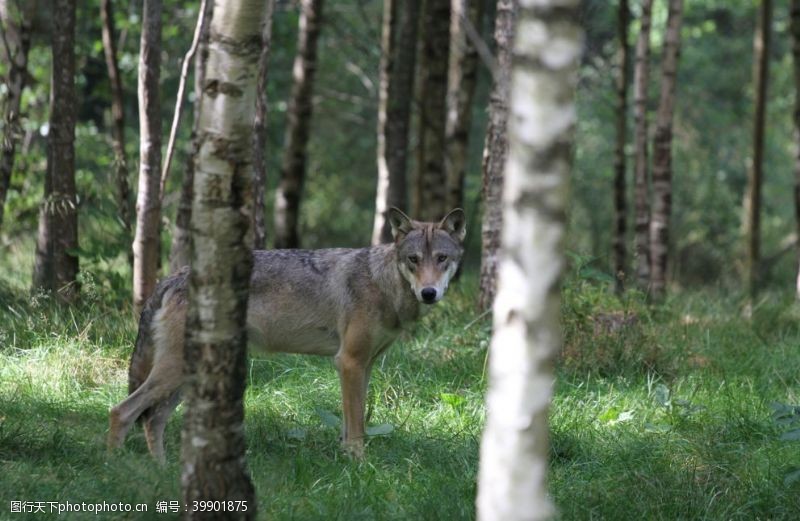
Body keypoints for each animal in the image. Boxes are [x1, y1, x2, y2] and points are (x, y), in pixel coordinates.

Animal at [109, 207, 466, 460]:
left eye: (442, 259)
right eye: (413, 259)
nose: (429, 293)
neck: (383, 283)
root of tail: (174, 276)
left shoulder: (364, 366)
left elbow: (353, 422)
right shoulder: (349, 362)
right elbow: (356, 428)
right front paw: (359, 465)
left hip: (185, 377)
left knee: (152, 421)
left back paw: (163, 472)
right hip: (174, 372)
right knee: (121, 412)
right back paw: (114, 465)